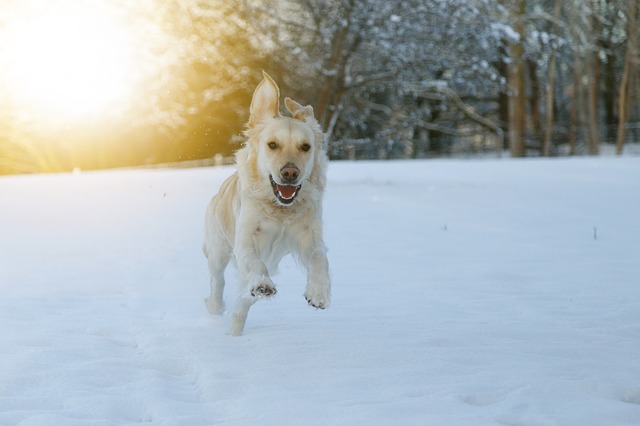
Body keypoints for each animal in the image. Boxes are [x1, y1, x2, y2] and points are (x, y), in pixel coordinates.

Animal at [201, 71, 332, 334]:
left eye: (305, 147)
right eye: (272, 144)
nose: (290, 173)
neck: (280, 209)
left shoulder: (310, 234)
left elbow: (319, 258)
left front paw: (318, 292)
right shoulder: (246, 238)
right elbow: (255, 264)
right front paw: (263, 284)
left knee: (243, 301)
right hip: (218, 250)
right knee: (217, 282)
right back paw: (217, 308)